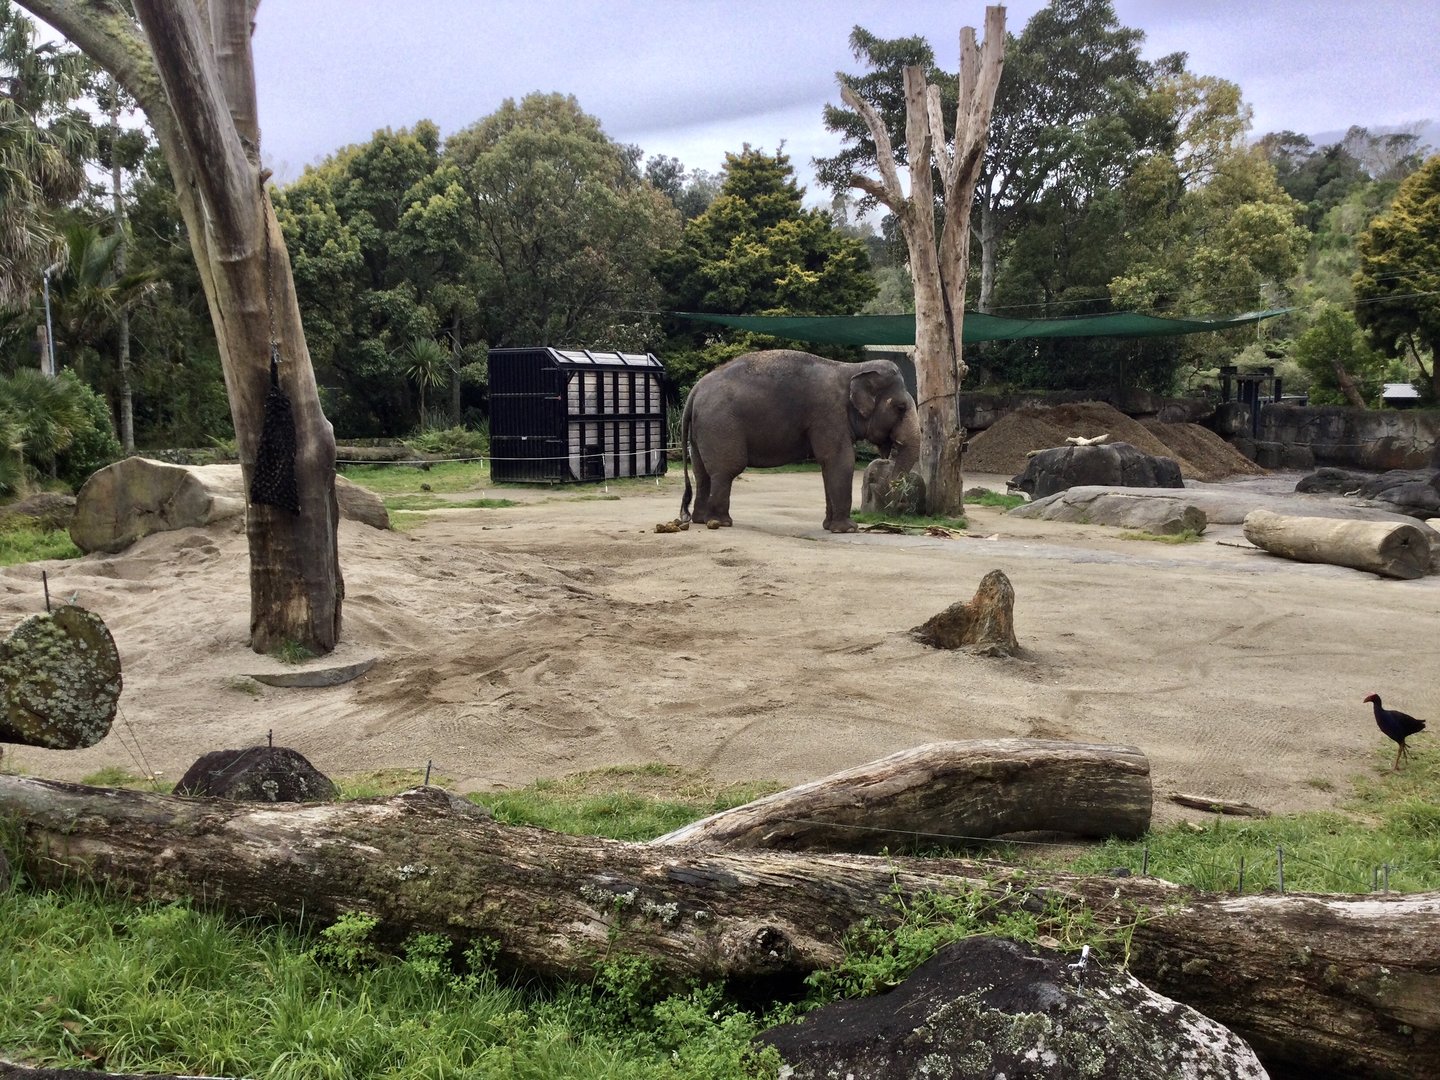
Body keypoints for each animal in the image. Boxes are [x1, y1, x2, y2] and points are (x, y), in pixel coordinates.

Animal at [679, 349, 921, 533]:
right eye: (900, 407)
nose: (898, 500)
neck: (853, 368)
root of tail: (695, 391)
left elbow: (828, 466)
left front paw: (829, 527)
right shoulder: (828, 414)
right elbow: (840, 460)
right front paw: (847, 529)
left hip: (701, 429)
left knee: (701, 472)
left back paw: (700, 520)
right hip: (721, 424)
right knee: (726, 469)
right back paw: (720, 522)